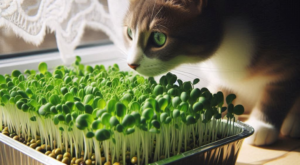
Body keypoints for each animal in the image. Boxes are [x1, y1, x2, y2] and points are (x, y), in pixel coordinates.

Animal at [122, 0, 300, 146]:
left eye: (159, 38)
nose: (131, 64)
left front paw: (262, 125)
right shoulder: (221, 78)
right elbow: (219, 92)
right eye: (130, 33)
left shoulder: (288, 64)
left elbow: (277, 96)